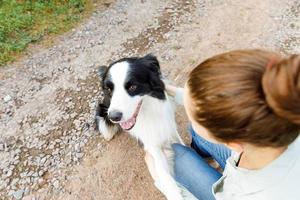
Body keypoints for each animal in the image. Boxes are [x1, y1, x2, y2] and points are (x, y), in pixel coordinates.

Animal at [95, 54, 195, 200]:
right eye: (108, 89)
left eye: (132, 86)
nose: (114, 116)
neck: (147, 112)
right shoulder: (151, 144)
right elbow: (164, 175)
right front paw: (174, 192)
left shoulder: (168, 127)